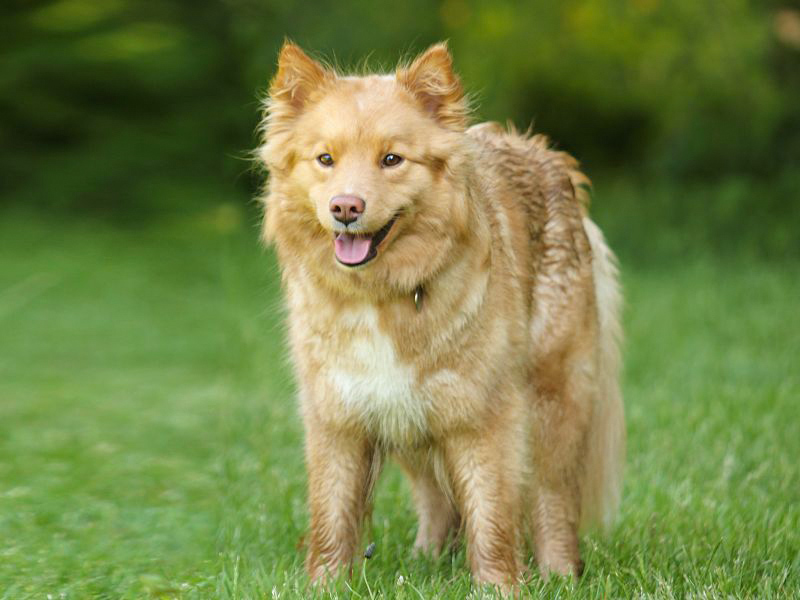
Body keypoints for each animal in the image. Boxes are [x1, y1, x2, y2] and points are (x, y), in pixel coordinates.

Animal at [256, 42, 624, 592]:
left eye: (392, 159)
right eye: (325, 159)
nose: (345, 207)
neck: (384, 294)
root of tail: (547, 155)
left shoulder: (482, 416)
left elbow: (492, 517)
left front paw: (498, 588)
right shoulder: (340, 416)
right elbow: (332, 516)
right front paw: (325, 587)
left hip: (553, 402)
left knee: (552, 502)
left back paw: (560, 575)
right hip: (415, 415)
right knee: (436, 499)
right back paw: (425, 561)